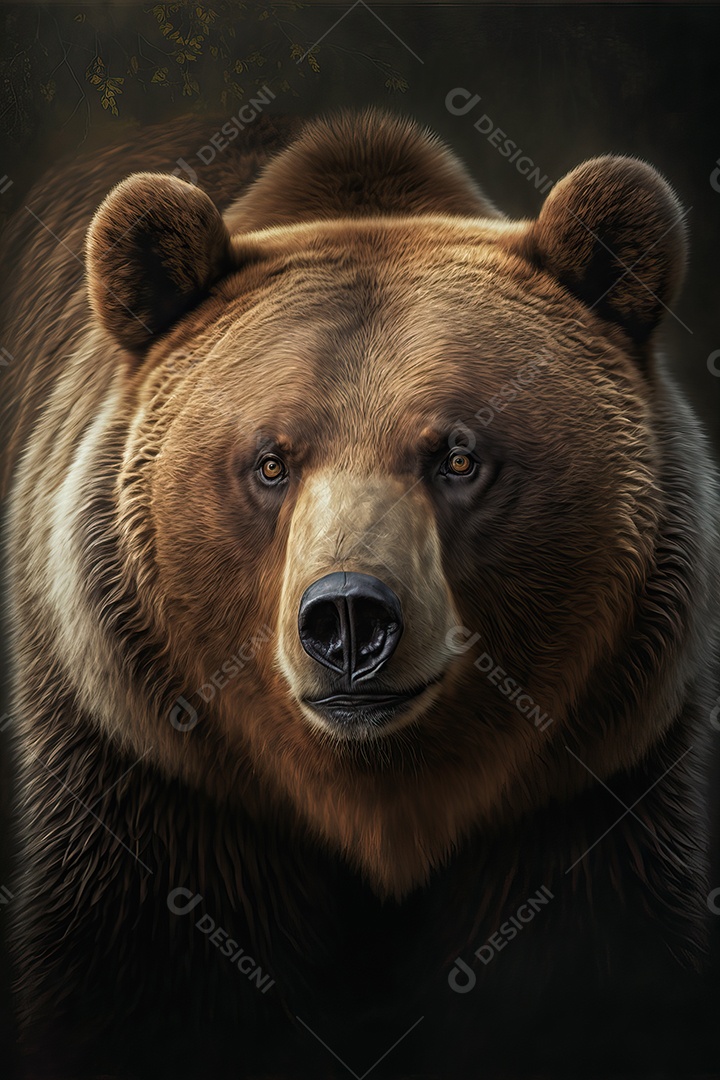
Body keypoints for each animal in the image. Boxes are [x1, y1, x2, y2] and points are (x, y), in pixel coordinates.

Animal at [1, 108, 719, 1079]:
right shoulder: (150, 783)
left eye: (458, 456)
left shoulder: (592, 791)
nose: (347, 616)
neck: (376, 806)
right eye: (271, 461)